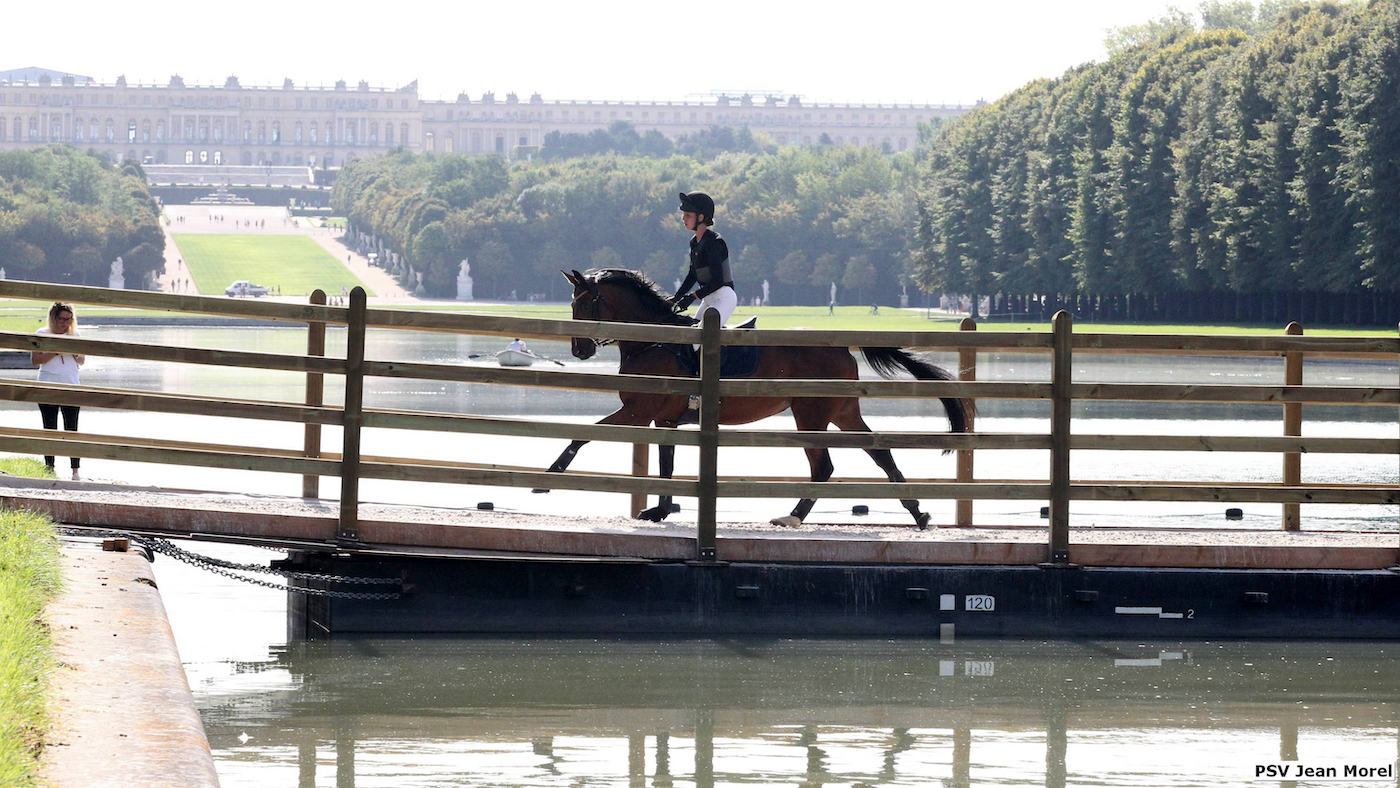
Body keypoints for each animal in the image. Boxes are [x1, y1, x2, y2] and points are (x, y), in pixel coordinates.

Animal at [537, 270, 974, 529]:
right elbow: (666, 465)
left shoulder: (637, 411)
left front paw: (551, 474)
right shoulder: (662, 419)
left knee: (824, 466)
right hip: (842, 411)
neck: (652, 341)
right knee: (879, 452)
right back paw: (918, 512)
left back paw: (794, 517)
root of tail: (838, 343)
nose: (578, 351)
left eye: (585, 304)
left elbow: (584, 434)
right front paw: (660, 510)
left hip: (811, 415)